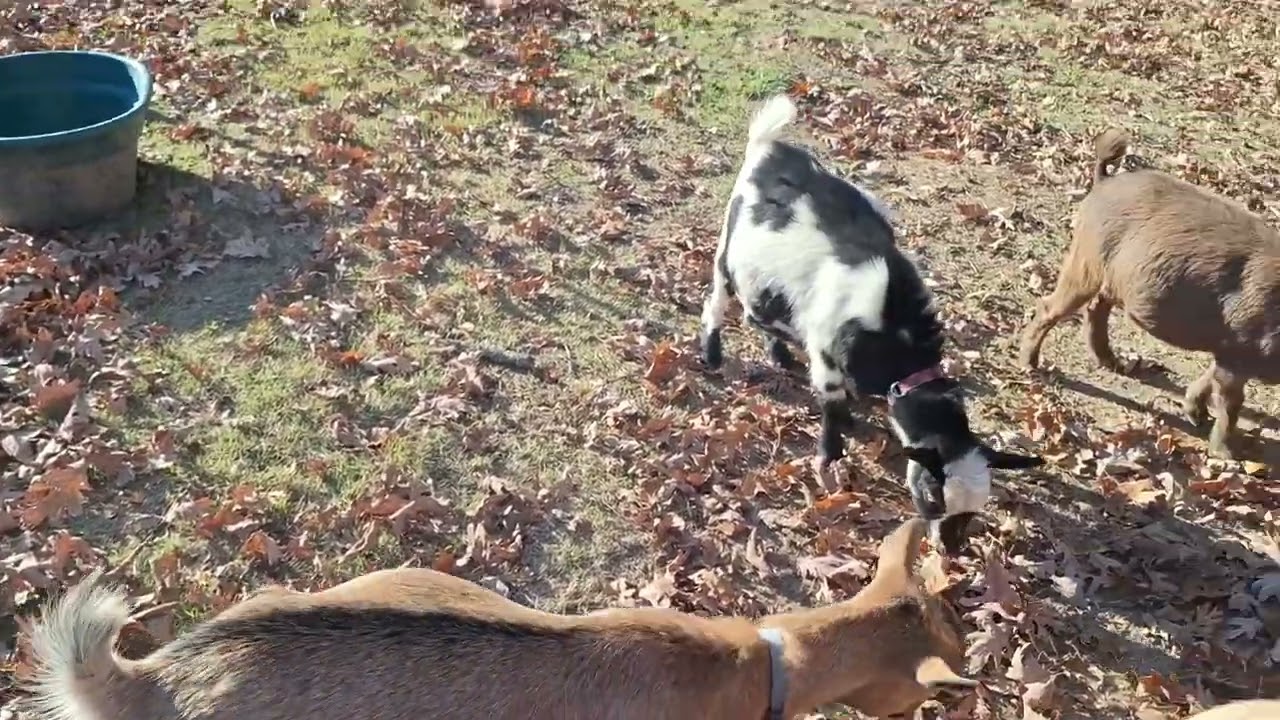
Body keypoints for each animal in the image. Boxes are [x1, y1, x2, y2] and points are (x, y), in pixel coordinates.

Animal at [699, 94, 1043, 552]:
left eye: (977, 507)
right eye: (934, 493)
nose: (949, 550)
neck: (895, 331)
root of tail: (771, 147)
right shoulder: (826, 353)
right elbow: (831, 405)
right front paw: (830, 458)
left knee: (762, 314)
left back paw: (779, 354)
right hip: (728, 248)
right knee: (718, 299)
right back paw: (712, 354)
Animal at [1019, 128, 1280, 459]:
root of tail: (1104, 182)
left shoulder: (1227, 348)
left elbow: (1210, 378)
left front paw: (1196, 417)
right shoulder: (1239, 348)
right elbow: (1231, 402)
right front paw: (1227, 456)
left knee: (1096, 308)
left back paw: (1114, 364)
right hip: (1086, 262)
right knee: (1051, 306)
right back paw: (1030, 366)